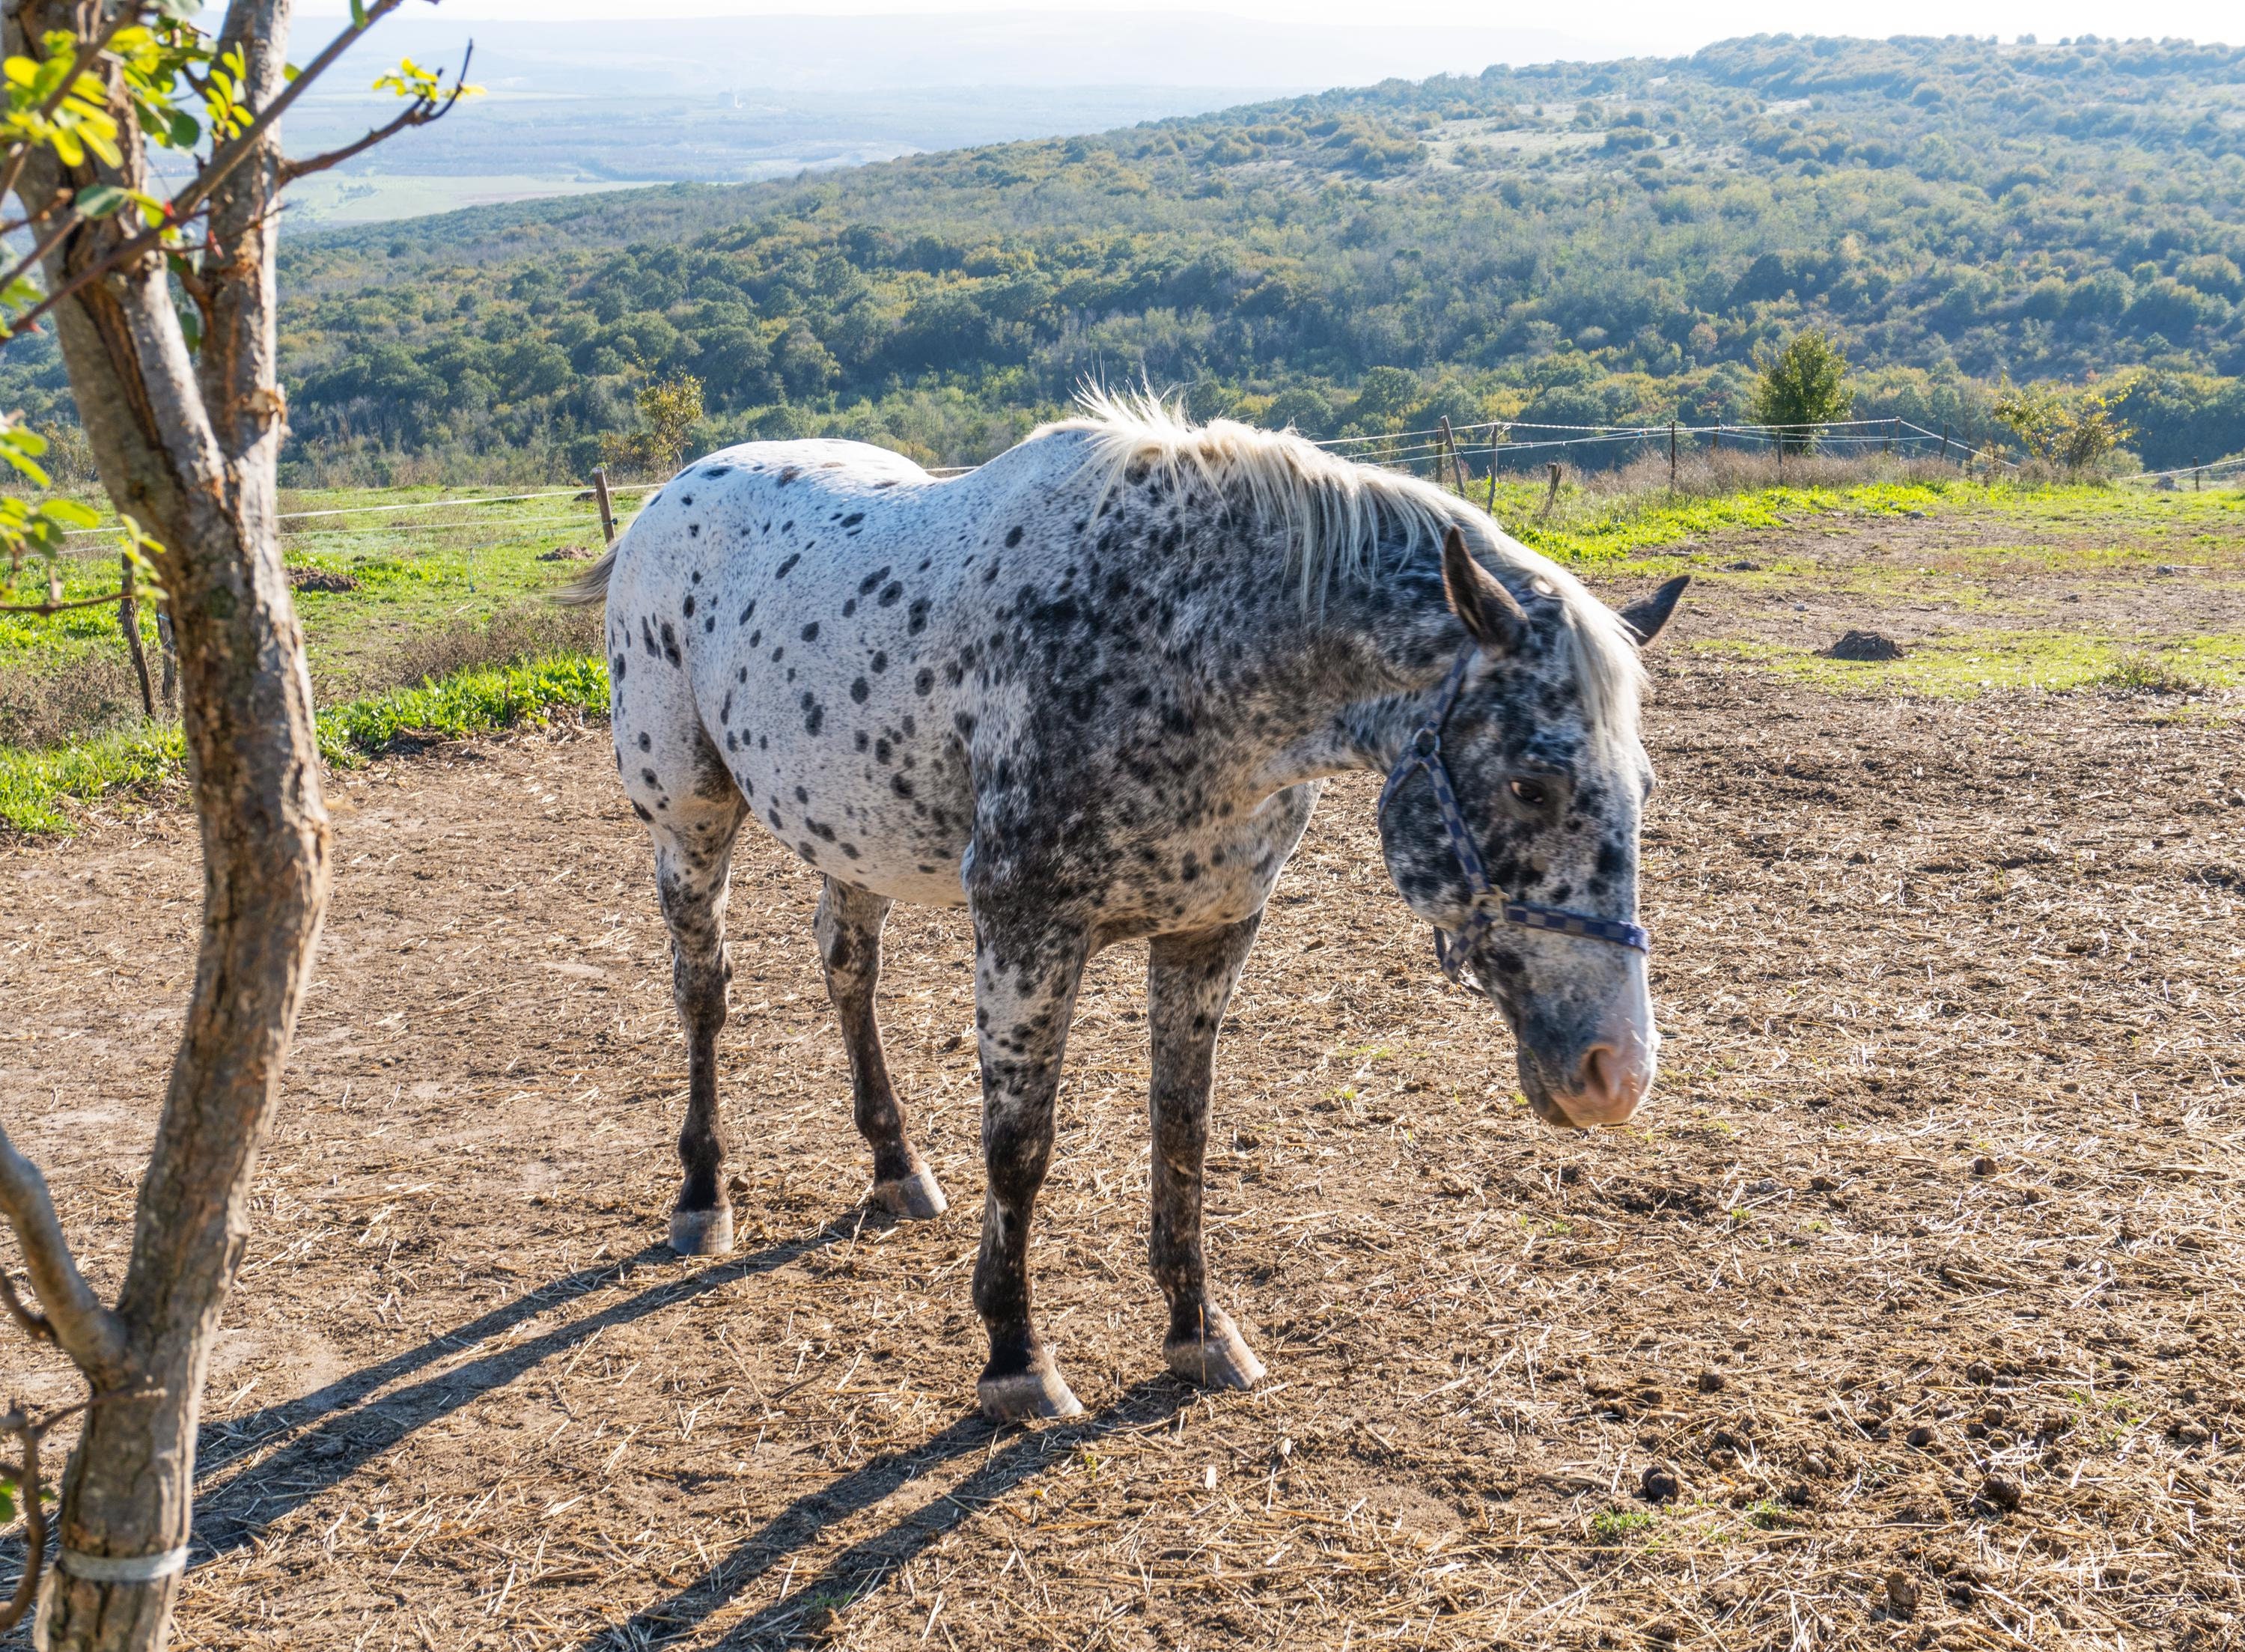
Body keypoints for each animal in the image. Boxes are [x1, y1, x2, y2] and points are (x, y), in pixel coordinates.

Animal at [572, 392, 1687, 1421]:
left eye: (1642, 784)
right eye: (1529, 784)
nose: (1614, 1073)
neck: (1178, 647)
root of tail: (667, 499)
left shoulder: (1208, 937)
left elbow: (1180, 1129)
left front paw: (1197, 1329)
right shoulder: (1026, 936)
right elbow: (1019, 1146)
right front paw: (1015, 1356)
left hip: (849, 838)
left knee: (847, 970)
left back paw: (895, 1166)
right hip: (690, 819)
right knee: (704, 990)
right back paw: (702, 1195)